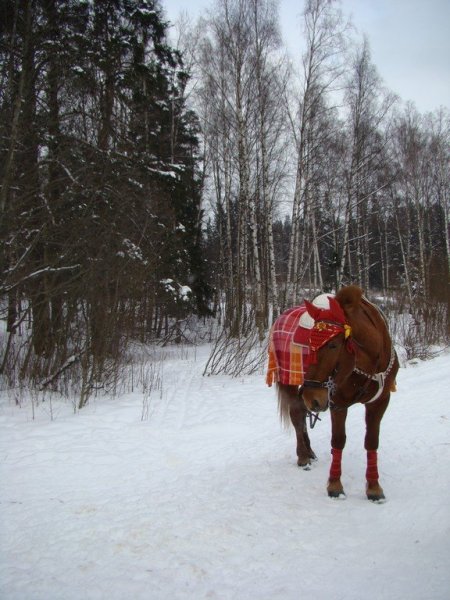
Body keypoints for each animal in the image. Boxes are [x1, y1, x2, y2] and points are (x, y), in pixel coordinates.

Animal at [266, 286, 400, 502]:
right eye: (309, 342)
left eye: (333, 345)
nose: (313, 396)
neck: (368, 363)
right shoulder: (338, 403)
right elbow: (338, 440)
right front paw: (335, 485)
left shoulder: (380, 401)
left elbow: (371, 441)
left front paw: (373, 488)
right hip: (291, 383)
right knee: (297, 416)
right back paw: (303, 456)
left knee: (302, 414)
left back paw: (310, 451)